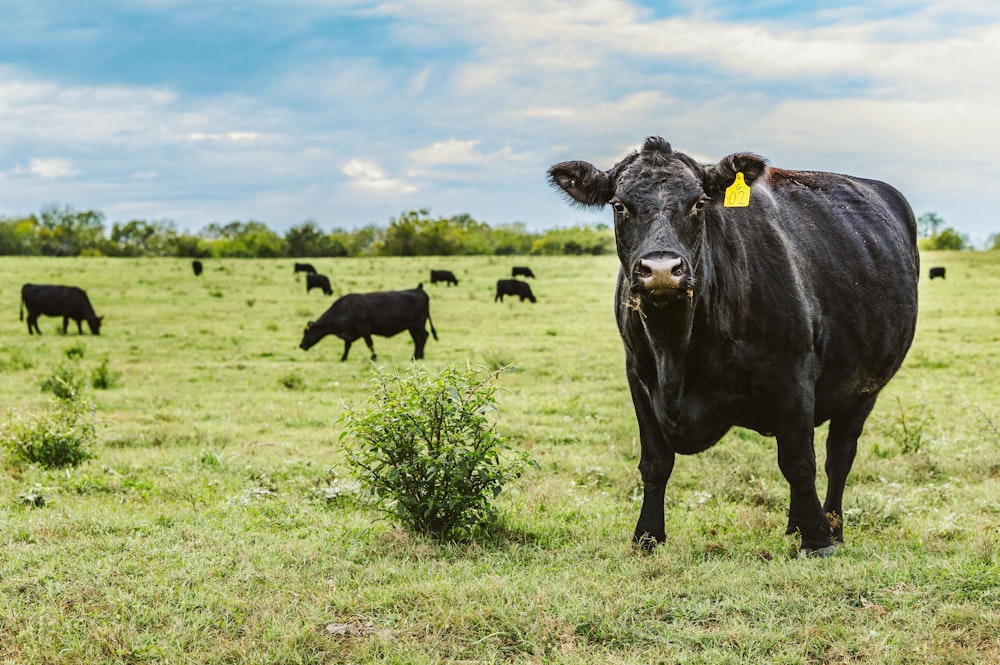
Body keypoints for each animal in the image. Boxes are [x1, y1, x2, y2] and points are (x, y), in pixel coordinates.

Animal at [298, 282, 436, 360]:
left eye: (306, 333)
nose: (301, 345)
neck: (345, 309)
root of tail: (419, 290)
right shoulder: (349, 334)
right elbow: (347, 346)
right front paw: (343, 358)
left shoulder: (364, 329)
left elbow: (370, 344)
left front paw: (374, 357)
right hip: (411, 327)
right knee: (418, 340)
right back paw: (415, 356)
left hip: (418, 325)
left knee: (424, 336)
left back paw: (419, 356)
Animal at [552, 135, 916, 556]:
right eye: (619, 205)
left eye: (698, 203)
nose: (661, 270)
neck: (674, 347)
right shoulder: (638, 376)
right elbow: (655, 462)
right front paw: (647, 537)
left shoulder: (793, 376)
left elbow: (799, 461)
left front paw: (818, 539)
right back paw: (795, 526)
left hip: (865, 389)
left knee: (837, 456)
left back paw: (831, 527)